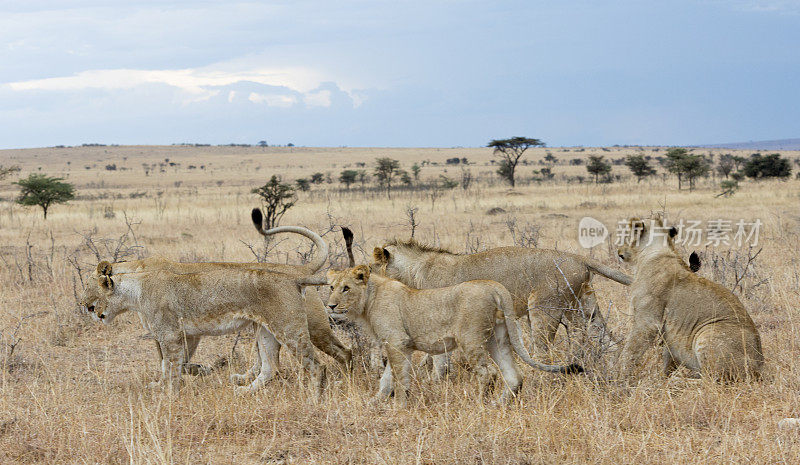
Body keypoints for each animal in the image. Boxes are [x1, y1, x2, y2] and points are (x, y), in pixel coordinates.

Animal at [324, 266, 580, 404]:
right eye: (331, 287)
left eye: (346, 288)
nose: (330, 306)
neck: (368, 300)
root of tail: (495, 286)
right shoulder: (399, 345)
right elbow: (386, 380)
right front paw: (374, 403)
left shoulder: (397, 342)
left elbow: (399, 378)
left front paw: (399, 407)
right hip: (498, 338)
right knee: (514, 375)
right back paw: (498, 405)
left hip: (471, 339)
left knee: (487, 373)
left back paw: (480, 405)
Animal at [362, 236, 632, 374]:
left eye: (368, 269)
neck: (413, 272)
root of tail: (581, 258)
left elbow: (439, 358)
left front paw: (436, 379)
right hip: (585, 306)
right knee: (606, 339)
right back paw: (610, 366)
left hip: (544, 307)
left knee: (543, 349)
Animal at [616, 216, 764, 378]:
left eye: (627, 235)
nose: (618, 251)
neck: (650, 254)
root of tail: (759, 368)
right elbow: (667, 360)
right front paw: (662, 379)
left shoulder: (647, 321)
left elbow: (629, 353)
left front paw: (619, 376)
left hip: (708, 333)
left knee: (712, 378)